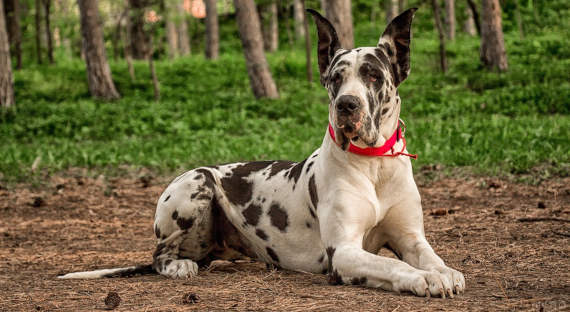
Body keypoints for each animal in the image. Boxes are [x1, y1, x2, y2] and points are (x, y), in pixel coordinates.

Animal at [60, 7, 464, 298]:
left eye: (374, 76)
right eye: (335, 78)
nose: (347, 105)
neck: (373, 165)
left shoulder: (410, 238)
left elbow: (431, 257)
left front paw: (444, 272)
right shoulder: (344, 253)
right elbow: (395, 266)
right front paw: (424, 279)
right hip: (197, 183)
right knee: (160, 254)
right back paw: (179, 266)